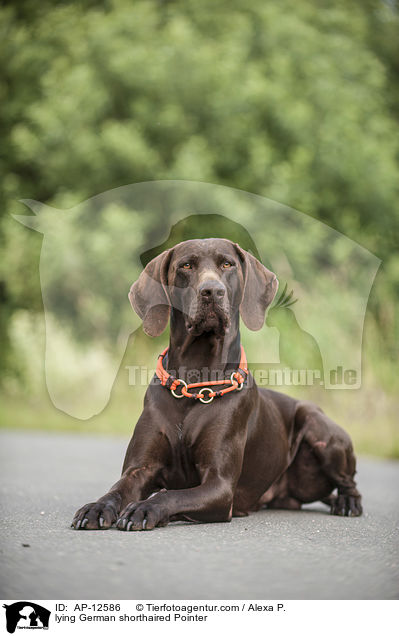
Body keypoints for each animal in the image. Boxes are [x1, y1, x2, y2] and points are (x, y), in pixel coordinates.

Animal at [71, 238, 362, 532]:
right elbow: (116, 490)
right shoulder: (139, 469)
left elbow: (171, 495)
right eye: (186, 265)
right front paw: (97, 507)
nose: (212, 291)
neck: (194, 381)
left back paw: (347, 503)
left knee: (349, 482)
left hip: (318, 428)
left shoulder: (219, 486)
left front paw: (143, 508)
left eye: (227, 264)